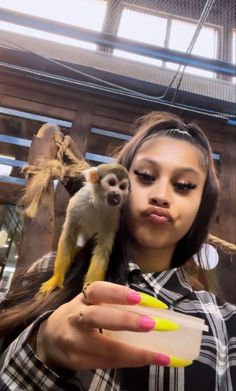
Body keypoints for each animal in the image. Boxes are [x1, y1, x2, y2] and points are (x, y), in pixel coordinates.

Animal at [39, 162, 130, 294]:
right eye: (112, 183)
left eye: (122, 187)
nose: (116, 193)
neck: (99, 203)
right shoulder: (78, 201)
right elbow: (68, 236)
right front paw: (56, 278)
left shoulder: (114, 216)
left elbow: (102, 250)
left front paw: (93, 286)